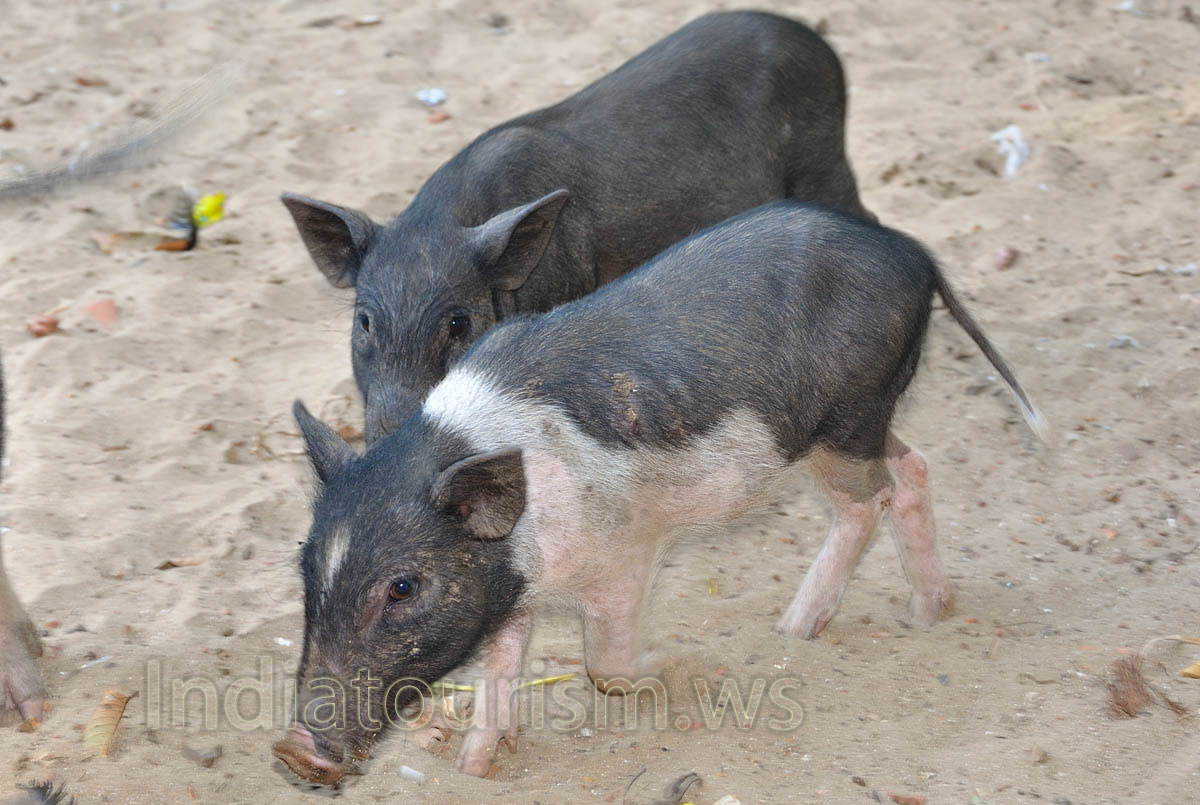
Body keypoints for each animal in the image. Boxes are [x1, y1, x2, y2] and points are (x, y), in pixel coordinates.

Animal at [272, 201, 1048, 782]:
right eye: (305, 567)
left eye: (402, 587)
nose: (295, 748)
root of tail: (913, 255)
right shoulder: (512, 588)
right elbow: (501, 669)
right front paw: (474, 765)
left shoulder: (626, 551)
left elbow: (603, 666)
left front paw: (676, 665)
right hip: (862, 421)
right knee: (912, 471)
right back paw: (926, 614)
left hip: (847, 418)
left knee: (868, 500)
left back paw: (794, 630)